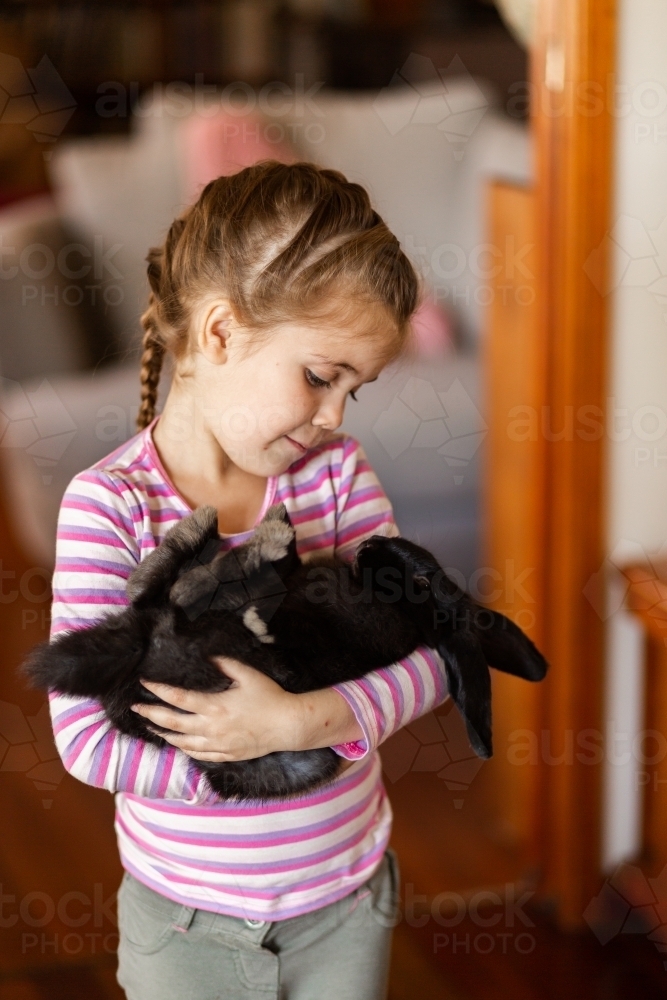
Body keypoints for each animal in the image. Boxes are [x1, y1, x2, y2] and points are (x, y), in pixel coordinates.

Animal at [24, 504, 548, 800]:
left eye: (421, 581)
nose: (372, 543)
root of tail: (140, 655)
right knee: (162, 591)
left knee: (164, 593)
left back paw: (229, 548)